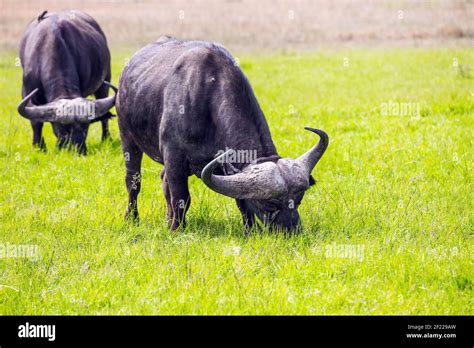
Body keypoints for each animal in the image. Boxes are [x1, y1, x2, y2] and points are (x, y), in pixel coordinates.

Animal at [17, 9, 116, 154]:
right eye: (63, 128)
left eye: (85, 127)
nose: (78, 149)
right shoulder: (27, 92)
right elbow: (36, 122)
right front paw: (39, 146)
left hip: (104, 83)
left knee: (105, 117)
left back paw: (106, 138)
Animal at [116, 37, 328, 231]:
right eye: (269, 203)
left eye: (298, 199)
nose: (293, 230)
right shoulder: (174, 157)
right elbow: (181, 198)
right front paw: (177, 229)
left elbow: (242, 202)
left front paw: (250, 230)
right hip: (127, 137)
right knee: (133, 181)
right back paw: (133, 218)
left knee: (163, 179)